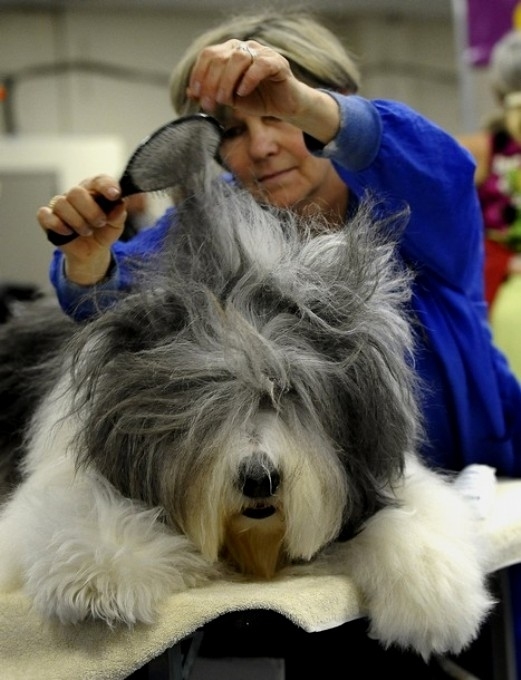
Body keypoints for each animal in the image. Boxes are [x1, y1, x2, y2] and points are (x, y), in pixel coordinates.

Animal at [0, 147, 492, 660]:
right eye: (211, 397)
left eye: (290, 392)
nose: (260, 479)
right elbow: (77, 507)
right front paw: (98, 580)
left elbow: (413, 514)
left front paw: (434, 605)